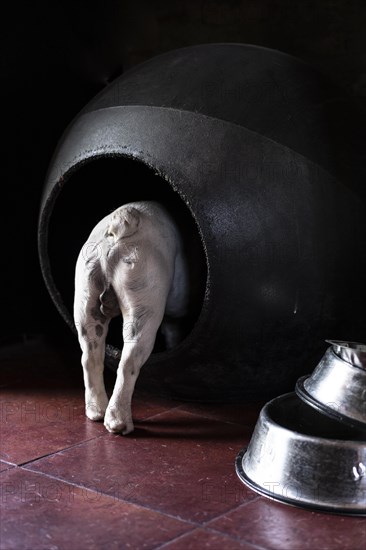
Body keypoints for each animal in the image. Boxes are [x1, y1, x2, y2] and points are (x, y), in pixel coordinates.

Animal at [74, 203, 189, 436]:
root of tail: (120, 224)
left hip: (86, 301)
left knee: (90, 356)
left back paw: (96, 410)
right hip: (143, 308)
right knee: (128, 363)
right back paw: (119, 421)